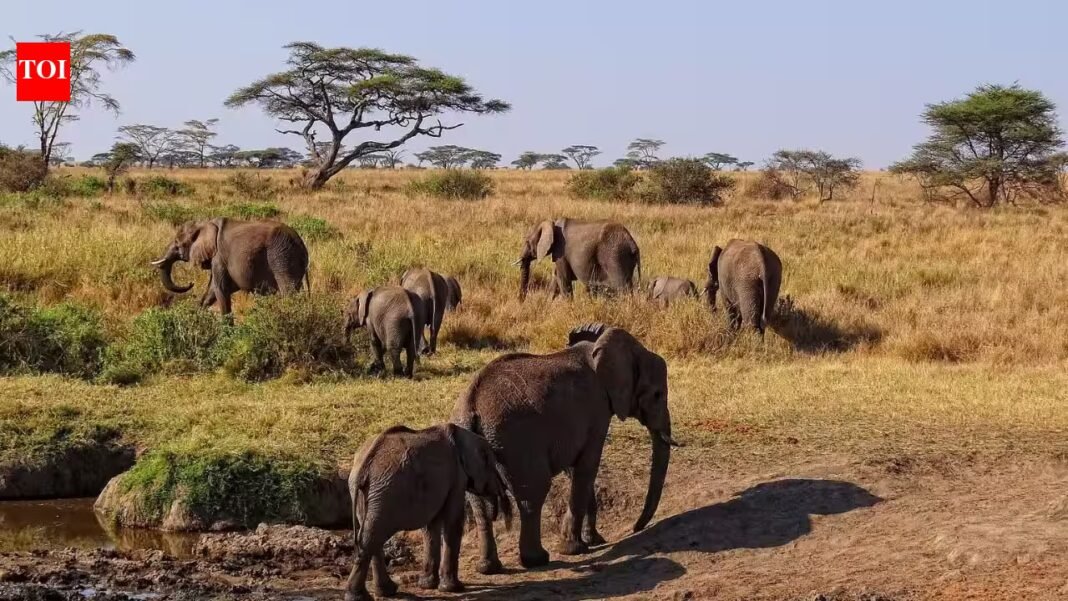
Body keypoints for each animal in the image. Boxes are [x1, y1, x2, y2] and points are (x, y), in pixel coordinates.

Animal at [150, 218, 309, 315]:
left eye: (177, 244)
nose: (191, 283)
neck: (204, 223)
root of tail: (300, 243)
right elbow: (212, 290)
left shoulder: (219, 257)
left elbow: (220, 289)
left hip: (282, 257)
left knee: (288, 291)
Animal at [344, 423, 511, 601]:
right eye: (491, 464)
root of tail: (363, 466)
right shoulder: (457, 476)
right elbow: (453, 521)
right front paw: (454, 588)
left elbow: (431, 526)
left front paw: (427, 585)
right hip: (386, 491)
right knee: (371, 536)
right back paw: (358, 596)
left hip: (368, 492)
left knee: (372, 536)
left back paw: (385, 591)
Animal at [453, 323, 675, 573]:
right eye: (657, 394)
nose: (635, 528)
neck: (597, 350)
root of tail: (470, 408)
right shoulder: (597, 409)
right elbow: (587, 466)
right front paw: (574, 548)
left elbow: (575, 470)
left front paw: (593, 540)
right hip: (517, 444)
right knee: (533, 494)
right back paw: (537, 559)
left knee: (479, 504)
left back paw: (488, 568)